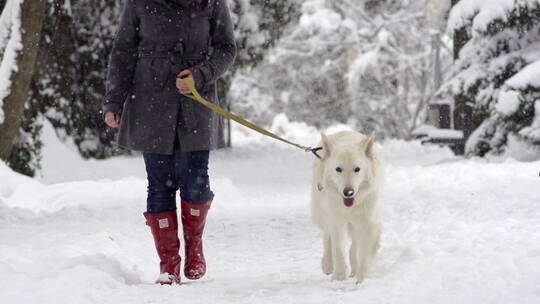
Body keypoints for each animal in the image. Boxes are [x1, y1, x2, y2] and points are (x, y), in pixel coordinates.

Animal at [312, 131, 384, 284]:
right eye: (338, 169)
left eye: (357, 169)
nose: (348, 192)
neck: (351, 206)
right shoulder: (337, 221)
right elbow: (338, 250)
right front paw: (339, 277)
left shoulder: (367, 223)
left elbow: (364, 253)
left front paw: (361, 280)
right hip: (323, 212)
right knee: (327, 235)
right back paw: (328, 265)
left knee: (354, 247)